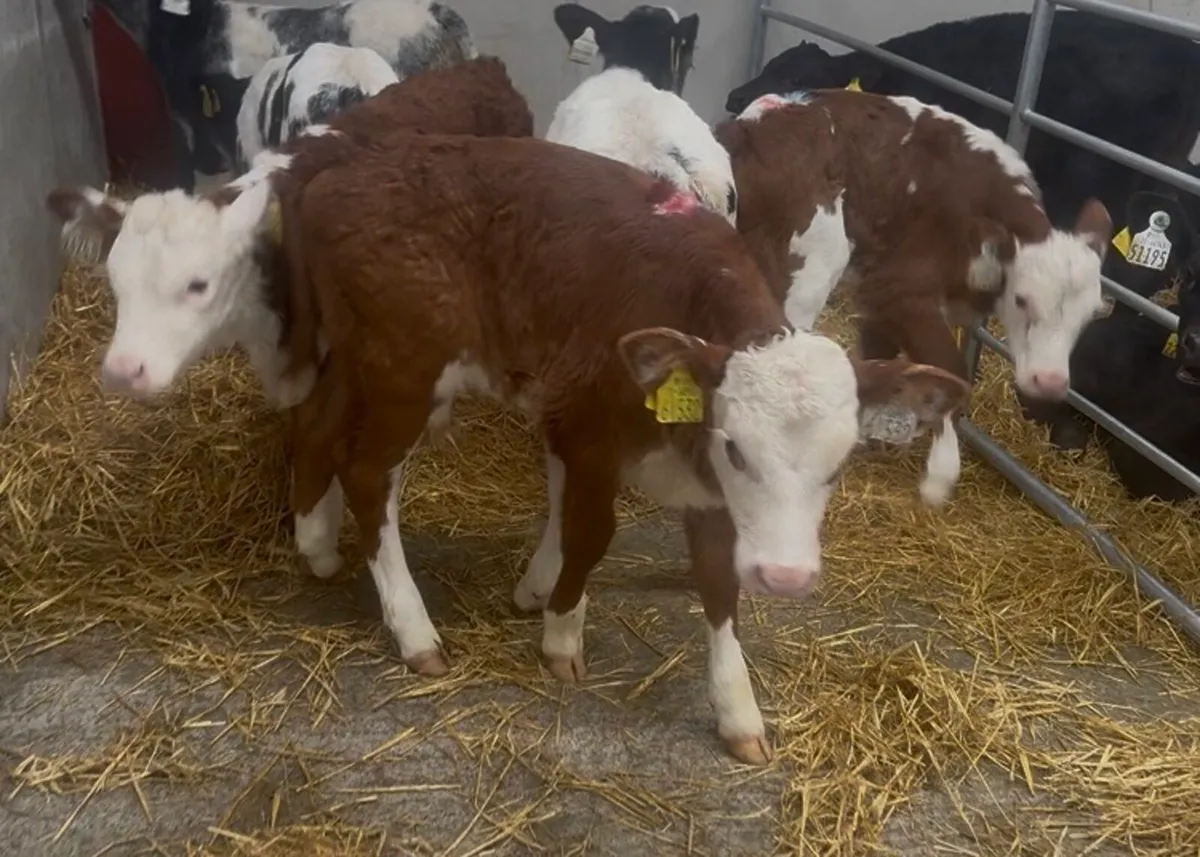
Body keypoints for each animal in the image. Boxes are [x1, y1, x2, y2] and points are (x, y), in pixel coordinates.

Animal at [46, 128, 971, 766]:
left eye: (839, 464)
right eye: (739, 444)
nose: (788, 575)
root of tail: (342, 172)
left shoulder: (699, 489)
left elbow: (715, 587)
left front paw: (737, 709)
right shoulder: (592, 429)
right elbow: (590, 533)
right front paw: (561, 632)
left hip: (365, 357)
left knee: (315, 425)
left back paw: (314, 542)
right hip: (407, 368)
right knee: (368, 472)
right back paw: (412, 626)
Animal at [715, 89, 1111, 507]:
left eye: (1090, 316)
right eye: (1021, 299)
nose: (1050, 382)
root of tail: (747, 129)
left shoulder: (878, 290)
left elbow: (880, 354)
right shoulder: (903, 286)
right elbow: (952, 370)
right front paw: (940, 473)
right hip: (809, 267)